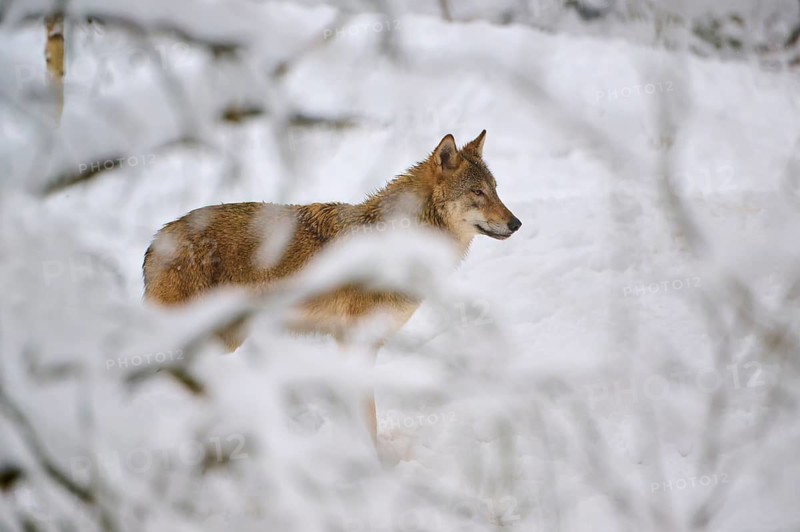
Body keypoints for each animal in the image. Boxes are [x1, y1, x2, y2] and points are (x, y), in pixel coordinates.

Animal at [142, 130, 520, 445]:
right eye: (477, 192)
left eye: (496, 190)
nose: (516, 223)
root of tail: (156, 240)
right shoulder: (356, 342)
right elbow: (367, 415)